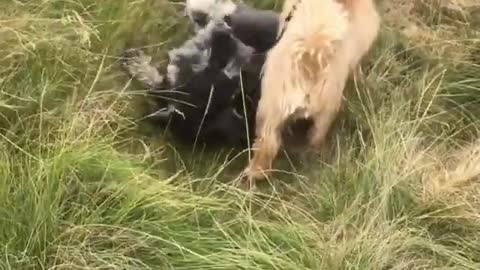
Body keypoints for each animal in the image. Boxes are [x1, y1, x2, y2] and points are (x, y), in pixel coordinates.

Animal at [246, 0, 380, 185]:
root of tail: (309, 57)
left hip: (271, 110)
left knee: (268, 145)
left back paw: (256, 174)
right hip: (325, 110)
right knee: (314, 139)